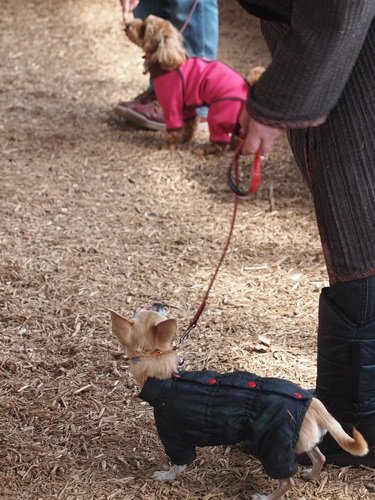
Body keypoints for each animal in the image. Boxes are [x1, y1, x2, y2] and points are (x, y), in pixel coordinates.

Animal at [110, 302, 368, 498]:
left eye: (141, 312)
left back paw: (266, 496)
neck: (166, 376)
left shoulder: (173, 435)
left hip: (272, 446)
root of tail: (312, 402)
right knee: (320, 457)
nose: (158, 303)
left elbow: (179, 463)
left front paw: (166, 476)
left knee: (287, 481)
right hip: (296, 442)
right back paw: (310, 475)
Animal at [123, 15, 264, 152]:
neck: (168, 63)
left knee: (221, 139)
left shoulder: (173, 104)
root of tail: (247, 86)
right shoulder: (187, 106)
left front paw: (168, 147)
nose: (127, 25)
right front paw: (185, 139)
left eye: (144, 29)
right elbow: (190, 124)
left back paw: (208, 150)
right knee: (238, 136)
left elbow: (174, 130)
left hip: (220, 112)